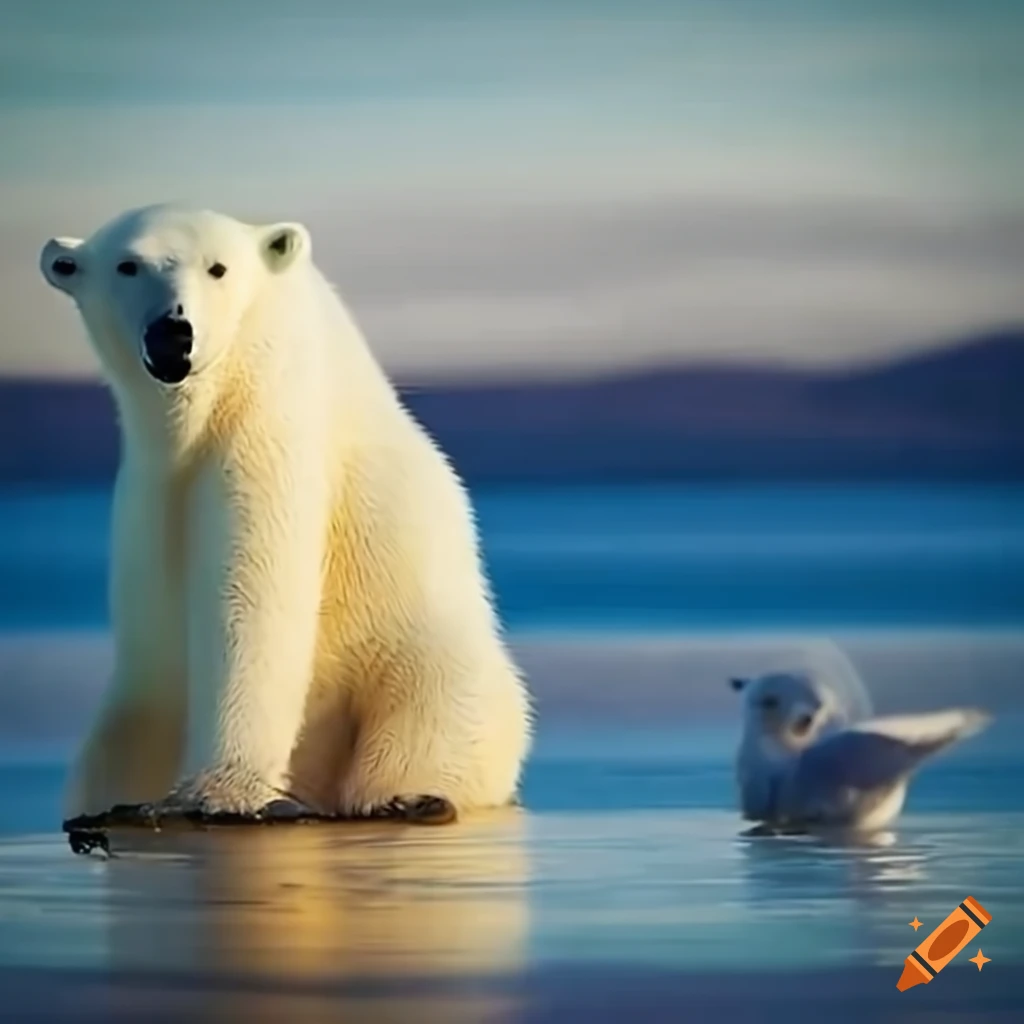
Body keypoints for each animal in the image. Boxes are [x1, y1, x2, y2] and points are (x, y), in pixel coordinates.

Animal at [39, 203, 532, 826]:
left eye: (218, 268)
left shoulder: (270, 425)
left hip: (421, 665)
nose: (173, 331)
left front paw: (225, 794)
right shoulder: (151, 488)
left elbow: (253, 591)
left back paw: (408, 797)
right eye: (129, 265)